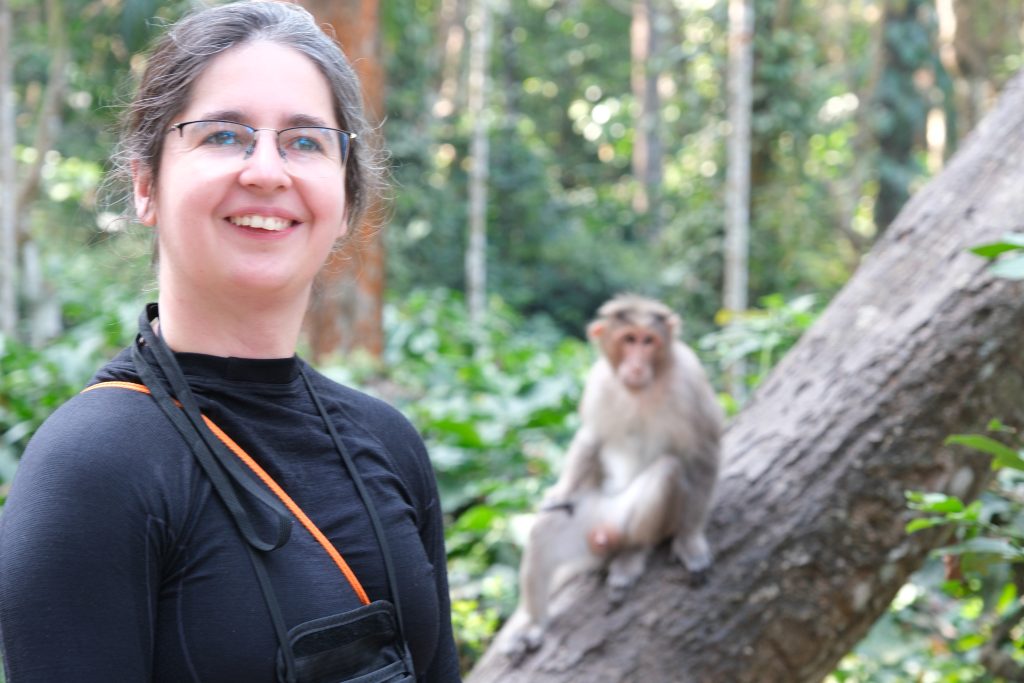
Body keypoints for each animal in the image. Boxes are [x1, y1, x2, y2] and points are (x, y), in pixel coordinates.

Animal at [503, 294, 724, 657]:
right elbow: (592, 437)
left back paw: (631, 554)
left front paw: (690, 539)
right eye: (629, 339)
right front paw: (561, 491)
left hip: (623, 521)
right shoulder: (599, 384)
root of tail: (602, 535)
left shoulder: (690, 380)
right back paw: (535, 624)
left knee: (667, 472)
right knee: (546, 530)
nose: (635, 364)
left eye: (649, 341)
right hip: (585, 527)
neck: (643, 389)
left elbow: (703, 453)